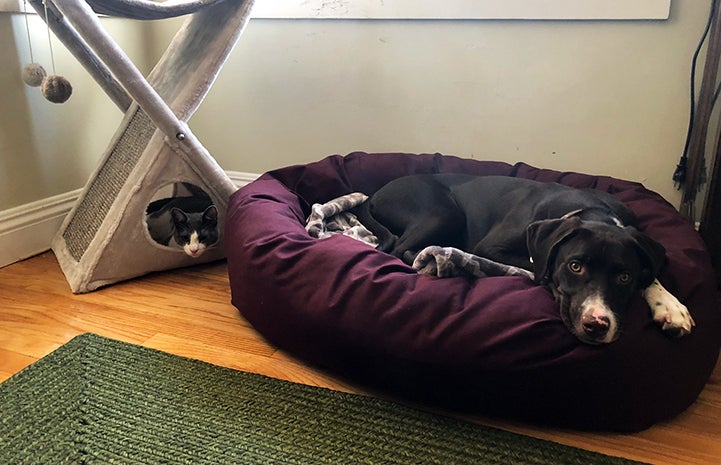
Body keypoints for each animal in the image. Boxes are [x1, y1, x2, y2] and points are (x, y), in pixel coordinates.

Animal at [358, 174, 696, 344]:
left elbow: (650, 274)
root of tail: (375, 193)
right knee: (397, 249)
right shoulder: (491, 247)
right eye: (575, 266)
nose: (597, 324)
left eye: (624, 277)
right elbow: (537, 266)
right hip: (441, 210)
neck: (590, 211)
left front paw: (671, 306)